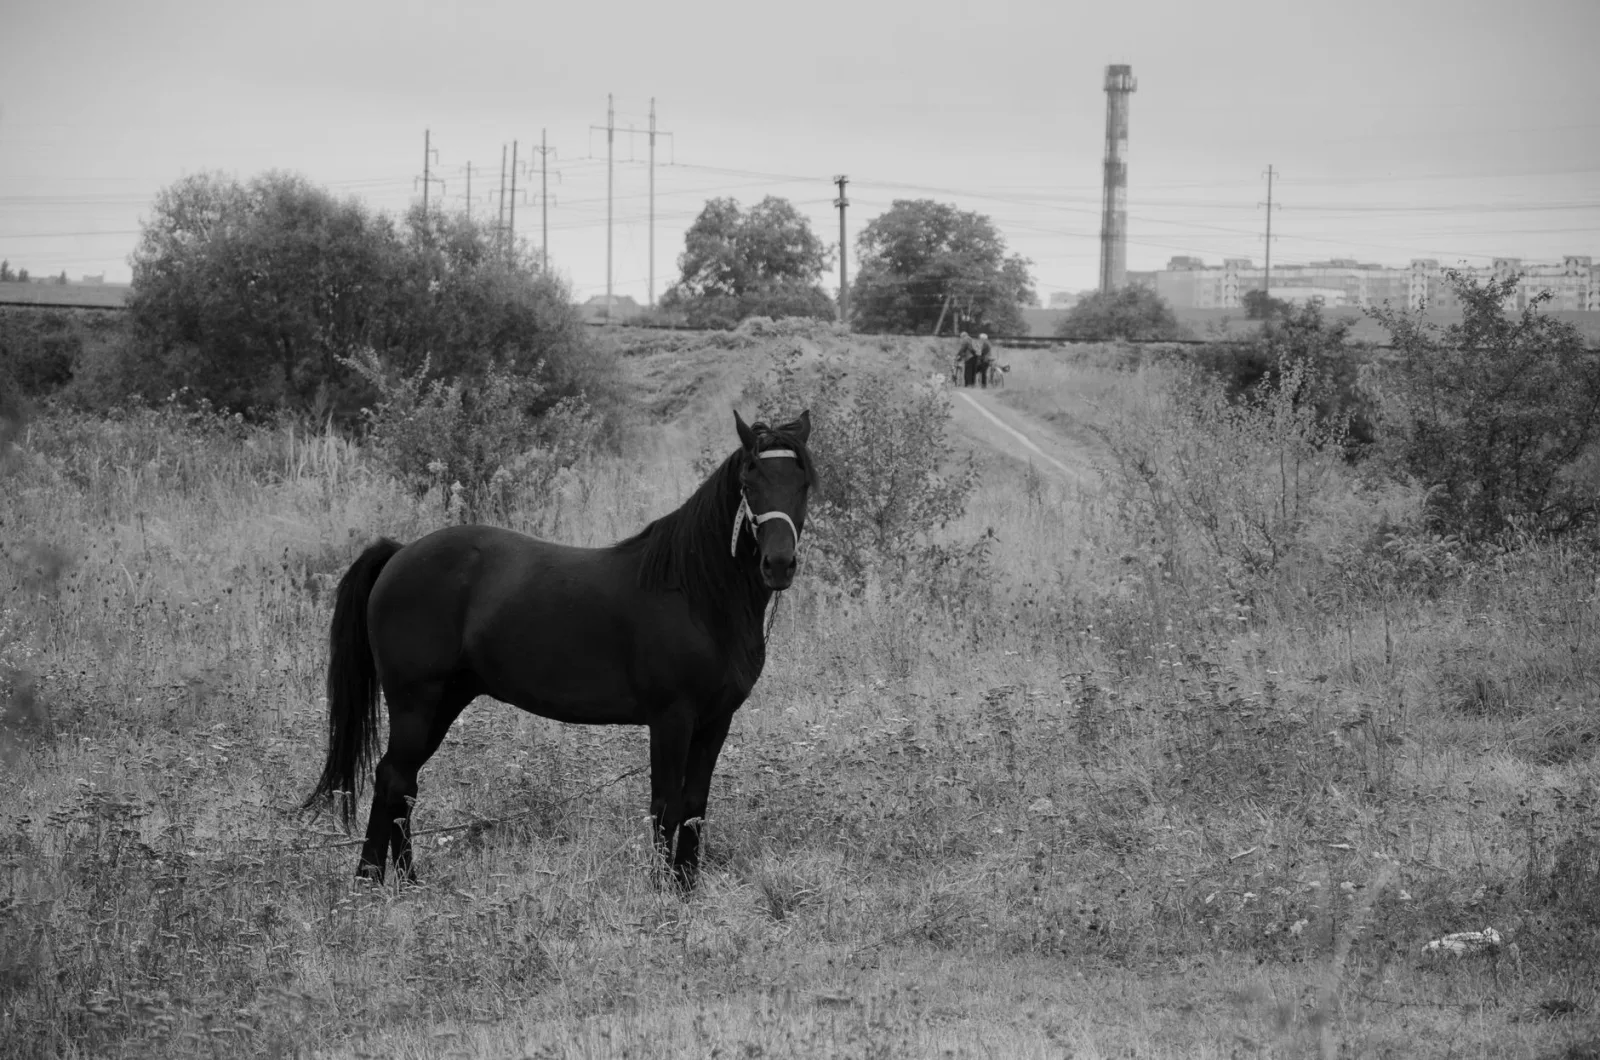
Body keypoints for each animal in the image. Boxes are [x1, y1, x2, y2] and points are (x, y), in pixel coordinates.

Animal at [304, 410, 815, 889]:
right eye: (749, 481)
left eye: (804, 483)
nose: (778, 564)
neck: (695, 595)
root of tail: (400, 552)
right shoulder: (672, 719)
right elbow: (666, 804)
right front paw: (661, 891)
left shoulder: (715, 720)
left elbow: (694, 805)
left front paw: (685, 886)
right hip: (416, 702)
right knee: (393, 778)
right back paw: (369, 882)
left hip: (444, 703)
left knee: (402, 783)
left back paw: (406, 882)